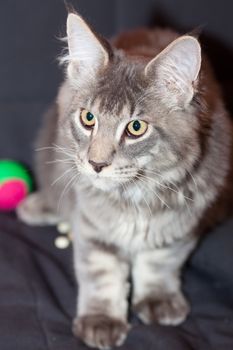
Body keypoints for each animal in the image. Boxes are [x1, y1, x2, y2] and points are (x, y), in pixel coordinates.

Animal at [16, 11, 233, 350]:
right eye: (88, 118)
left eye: (136, 128)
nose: (96, 164)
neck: (134, 197)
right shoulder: (92, 225)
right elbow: (101, 273)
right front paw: (101, 320)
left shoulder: (180, 223)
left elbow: (159, 261)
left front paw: (158, 299)